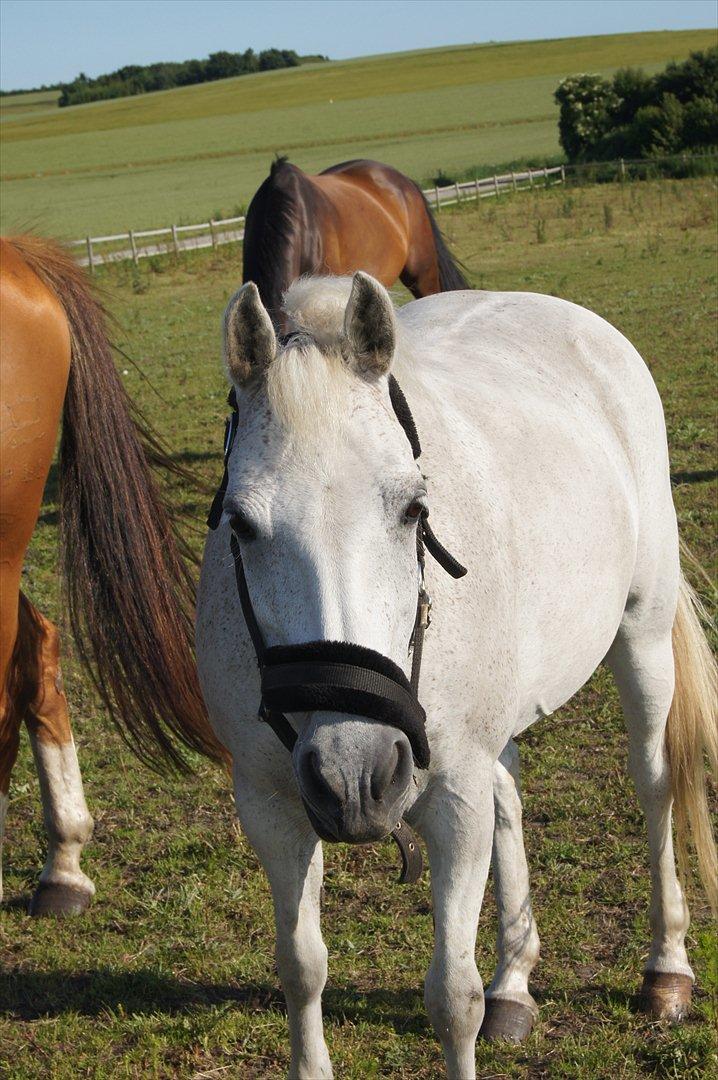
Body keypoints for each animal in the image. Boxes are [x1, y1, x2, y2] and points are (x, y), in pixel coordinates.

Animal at [193, 272, 712, 1080]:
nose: (357, 772)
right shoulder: (270, 805)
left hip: (643, 631)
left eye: (414, 508)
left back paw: (667, 971)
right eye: (241, 525)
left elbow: (451, 998)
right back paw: (516, 979)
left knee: (655, 783)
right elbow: (301, 968)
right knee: (510, 795)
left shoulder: (453, 797)